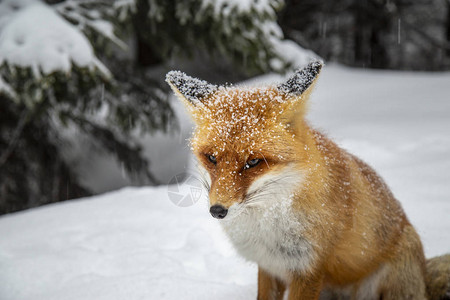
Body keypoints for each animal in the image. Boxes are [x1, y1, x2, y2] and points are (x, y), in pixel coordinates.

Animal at [167, 62, 450, 298]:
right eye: (211, 158)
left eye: (253, 162)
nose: (217, 210)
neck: (266, 225)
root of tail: (424, 277)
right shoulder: (268, 266)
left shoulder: (308, 268)